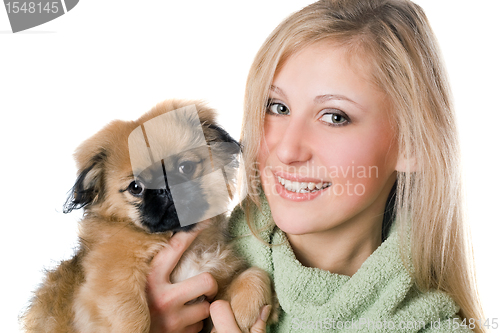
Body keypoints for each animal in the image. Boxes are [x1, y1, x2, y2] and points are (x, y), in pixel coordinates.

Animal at [22, 99, 278, 332]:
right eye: (136, 187)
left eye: (185, 167)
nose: (165, 188)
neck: (171, 236)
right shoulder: (113, 279)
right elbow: (134, 316)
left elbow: (254, 274)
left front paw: (246, 311)